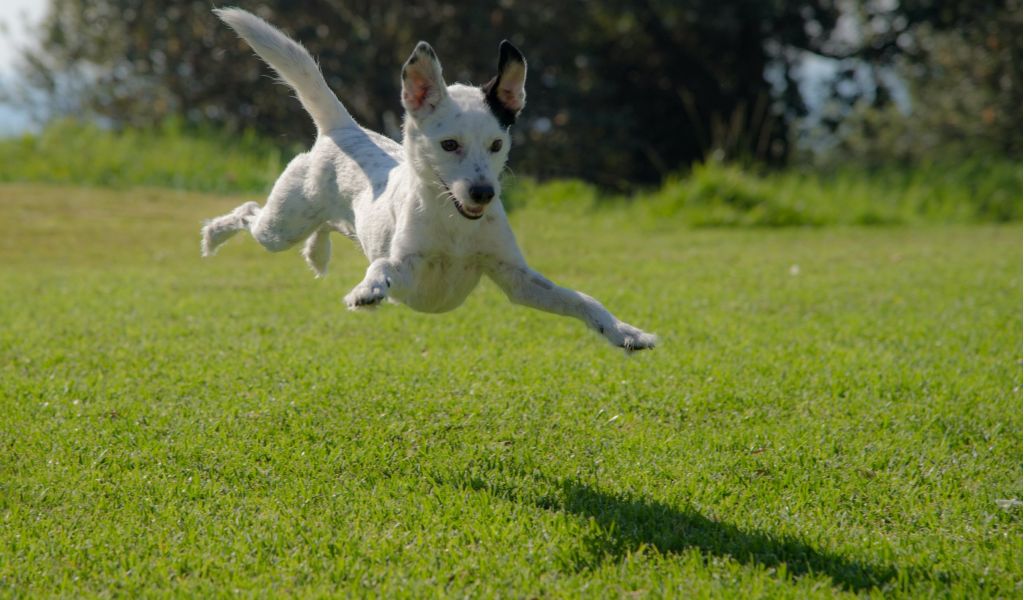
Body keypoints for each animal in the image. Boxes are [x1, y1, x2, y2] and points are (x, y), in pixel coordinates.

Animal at [201, 7, 655, 348]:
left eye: (496, 144)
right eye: (449, 145)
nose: (483, 193)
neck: (455, 227)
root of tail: (343, 129)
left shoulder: (517, 279)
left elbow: (583, 300)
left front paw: (624, 332)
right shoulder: (409, 267)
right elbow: (383, 266)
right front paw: (368, 291)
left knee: (325, 226)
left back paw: (317, 253)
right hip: (281, 226)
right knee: (249, 212)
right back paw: (214, 236)